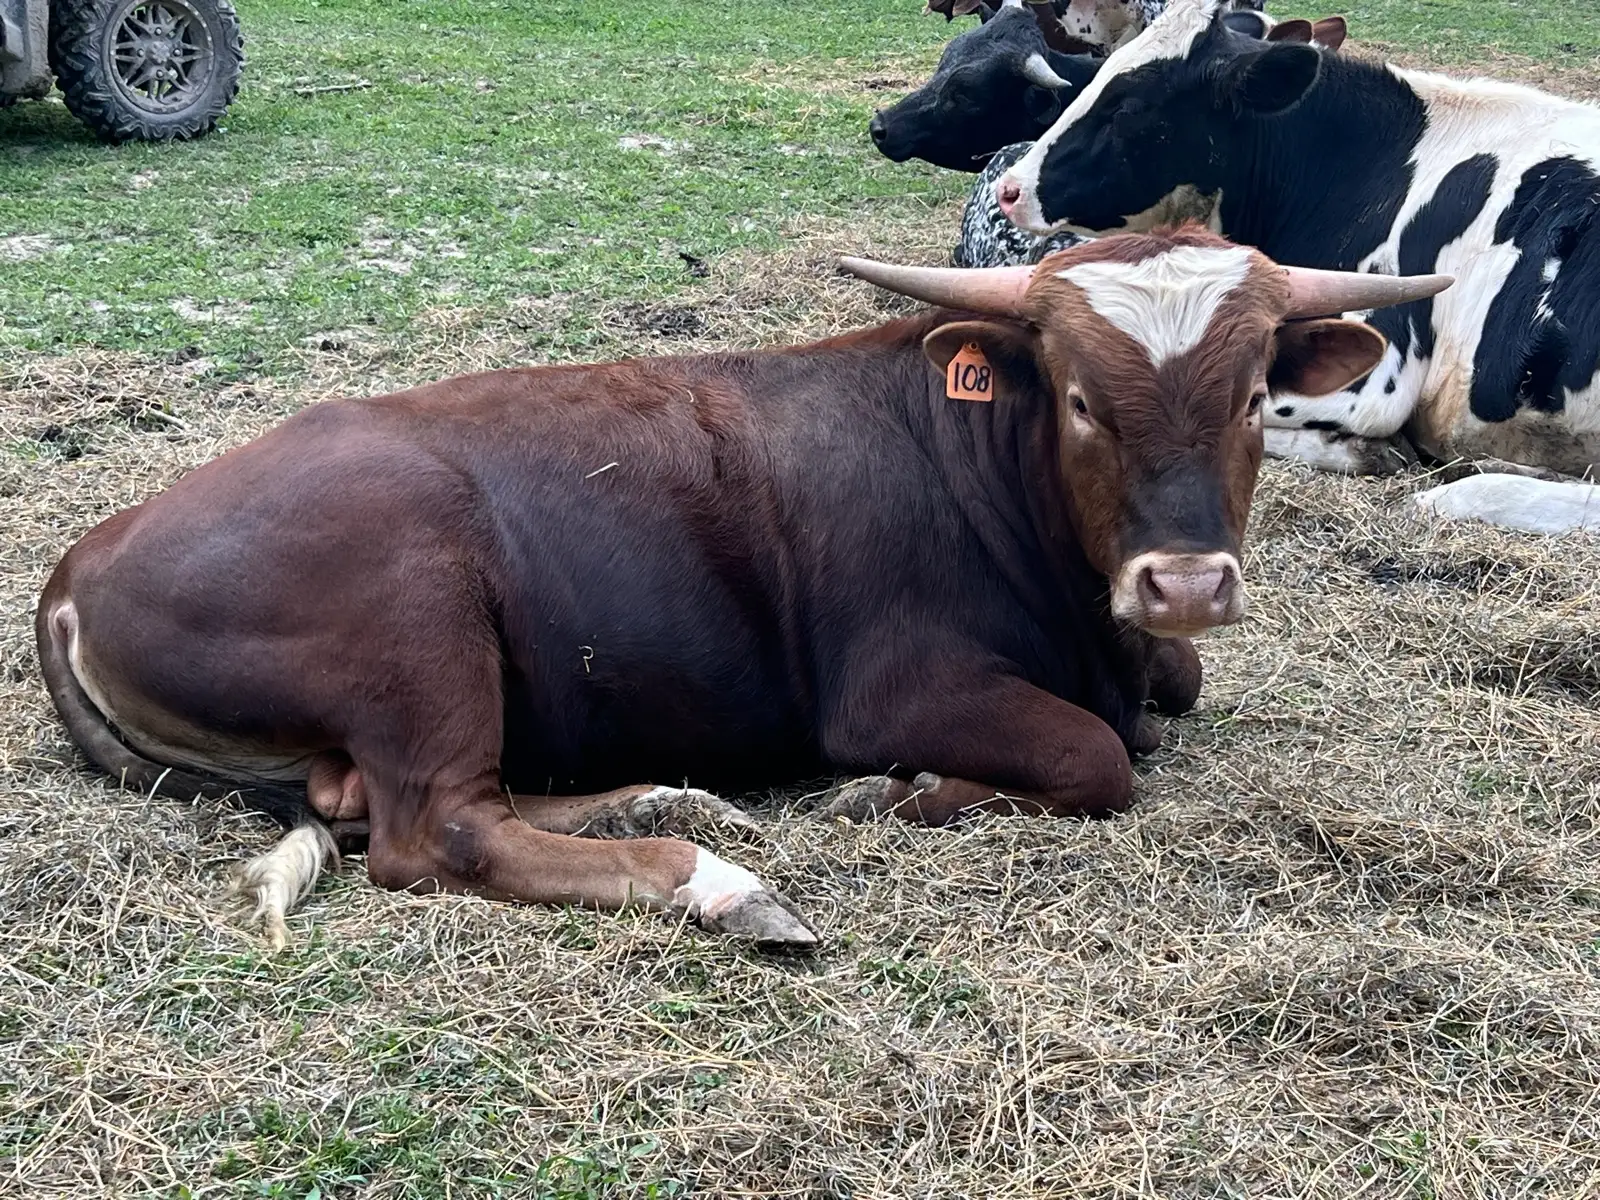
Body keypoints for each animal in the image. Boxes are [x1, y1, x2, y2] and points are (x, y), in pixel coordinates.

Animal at [35, 228, 1446, 949]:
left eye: (1257, 396)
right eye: (1083, 398)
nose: (1186, 582)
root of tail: (84, 558)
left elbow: (1178, 687)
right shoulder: (894, 691)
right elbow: (1098, 757)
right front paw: (903, 794)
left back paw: (665, 793)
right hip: (418, 613)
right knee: (438, 828)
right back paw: (714, 880)